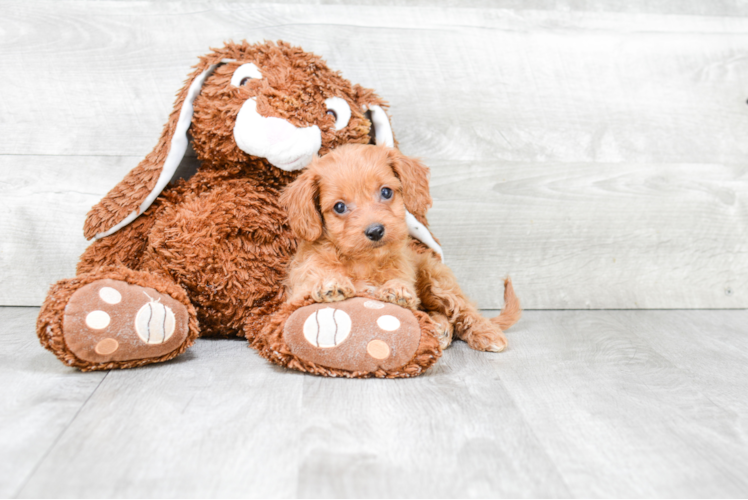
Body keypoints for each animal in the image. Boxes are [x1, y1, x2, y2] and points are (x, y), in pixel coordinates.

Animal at [280, 143, 520, 350]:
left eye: (386, 192)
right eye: (339, 207)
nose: (375, 231)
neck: (363, 261)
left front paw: (396, 289)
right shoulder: (297, 292)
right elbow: (313, 284)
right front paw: (330, 283)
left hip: (437, 280)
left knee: (463, 309)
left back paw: (484, 332)